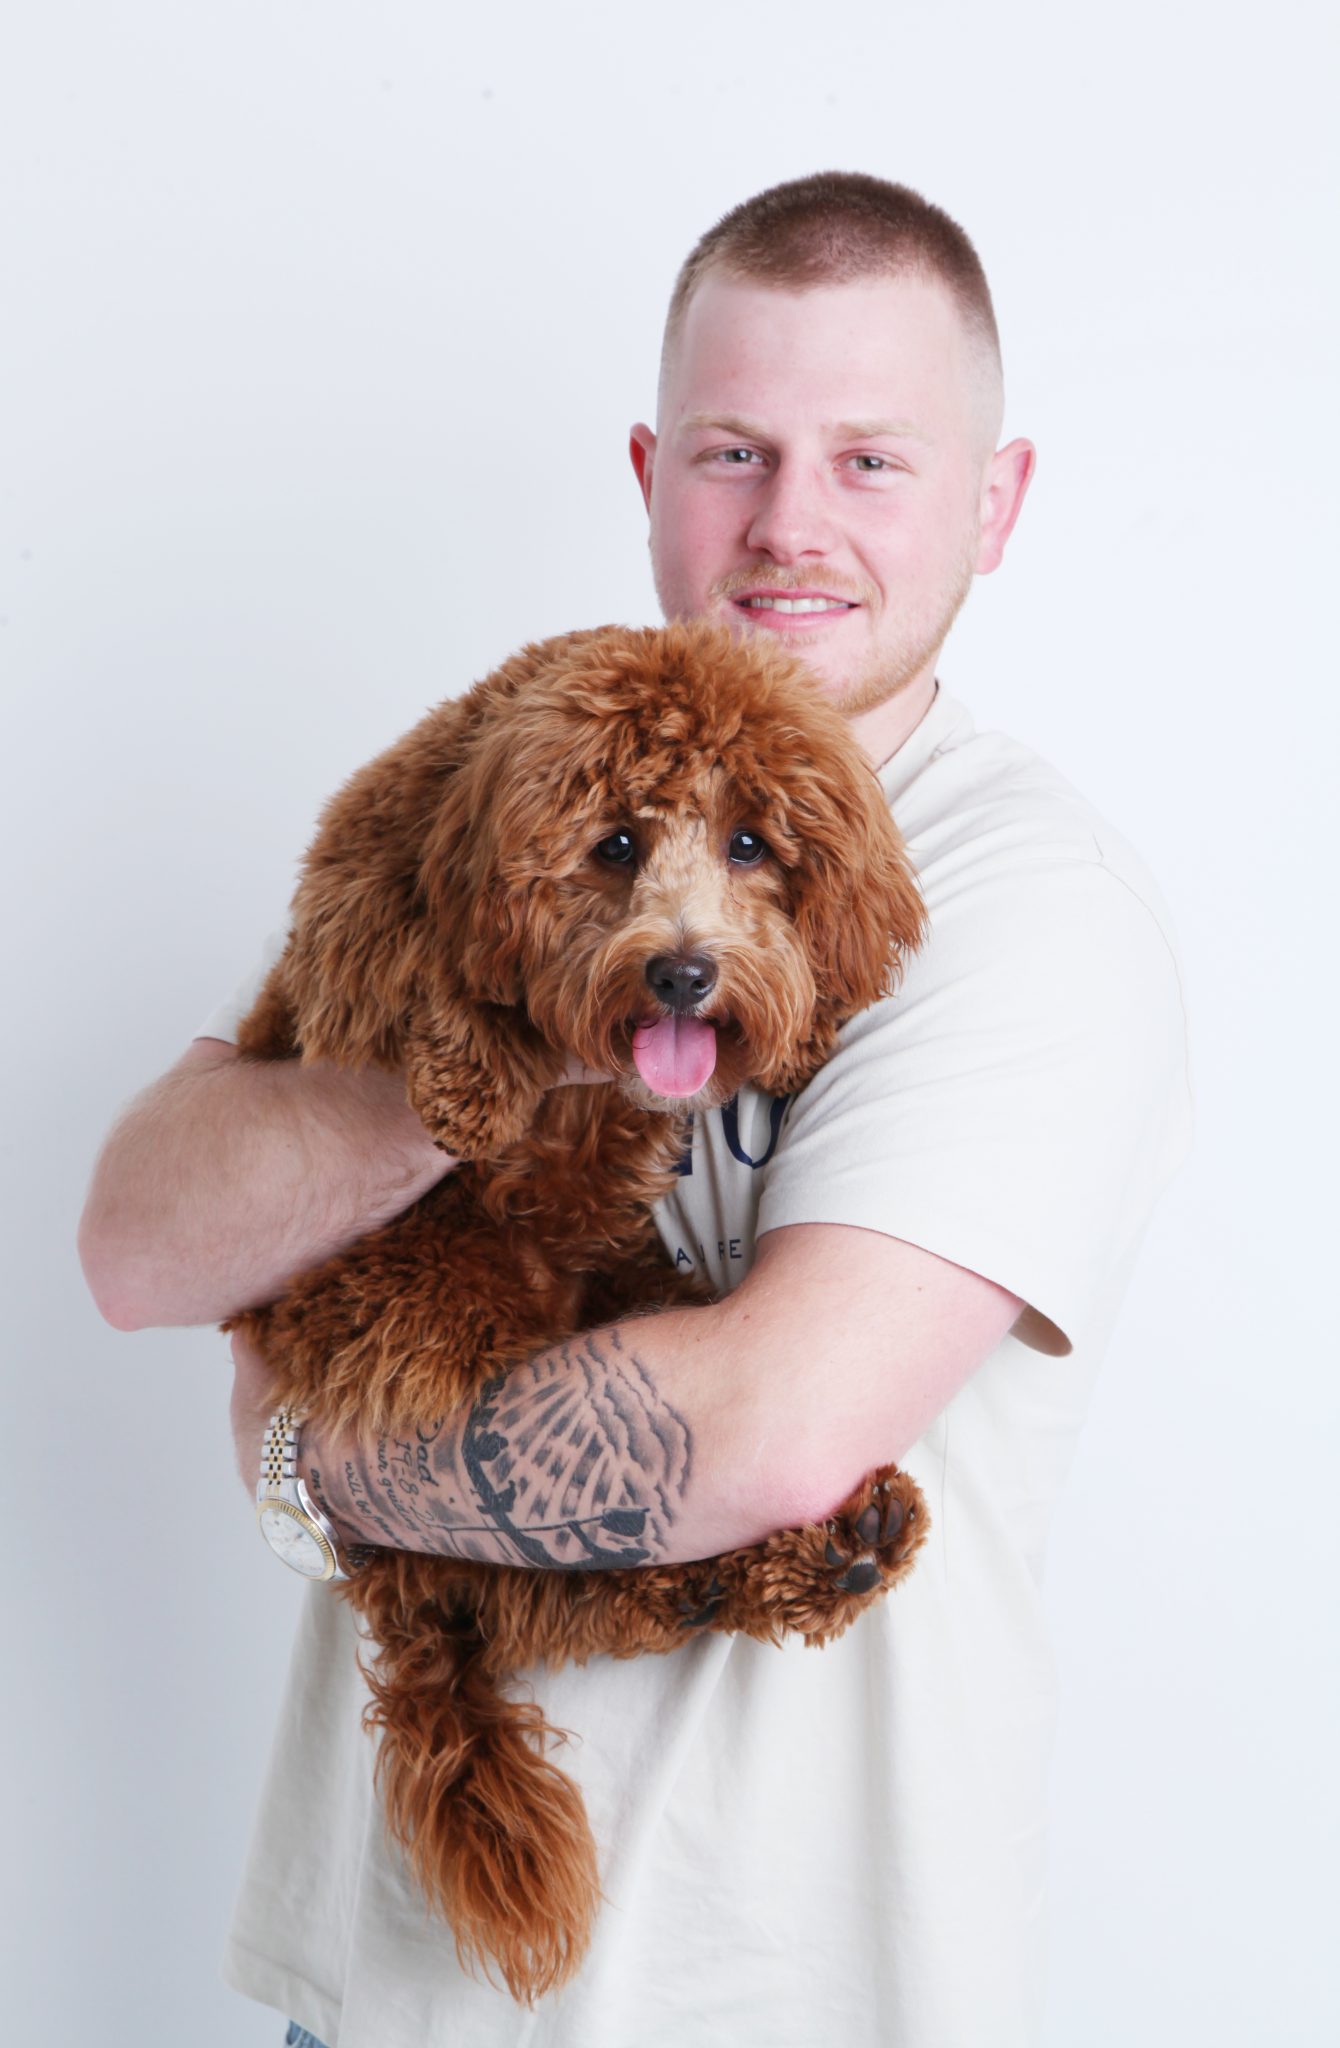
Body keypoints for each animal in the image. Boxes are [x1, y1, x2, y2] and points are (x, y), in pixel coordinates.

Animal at [229, 619, 930, 2003]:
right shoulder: (358, 913)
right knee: (511, 1567)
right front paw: (474, 1066)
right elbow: (419, 997)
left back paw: (823, 1552)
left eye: (752, 843)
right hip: (428, 1318)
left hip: (616, 1302)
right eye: (612, 841)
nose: (683, 972)